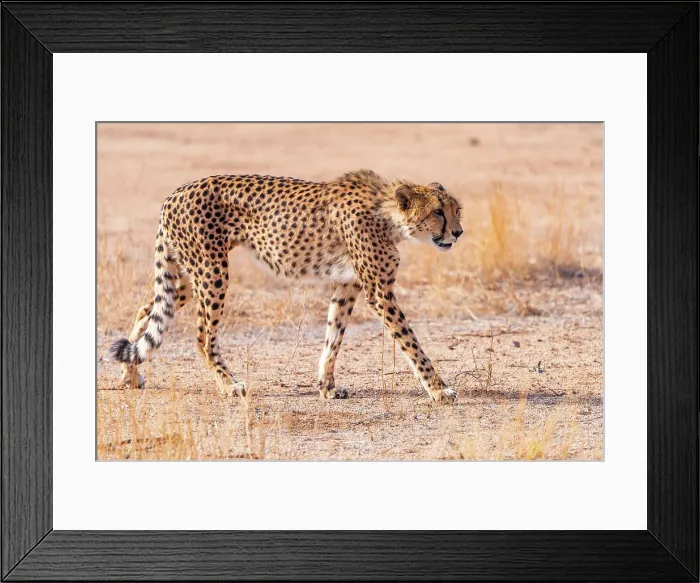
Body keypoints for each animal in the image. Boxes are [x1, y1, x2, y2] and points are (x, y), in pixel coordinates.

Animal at [110, 169, 463, 403]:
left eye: (457, 210)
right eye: (437, 212)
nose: (458, 232)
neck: (388, 215)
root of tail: (175, 193)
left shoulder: (346, 284)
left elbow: (333, 337)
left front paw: (327, 386)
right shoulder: (379, 292)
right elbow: (411, 343)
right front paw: (438, 388)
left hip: (187, 273)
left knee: (148, 310)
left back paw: (130, 374)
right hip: (212, 272)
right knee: (202, 336)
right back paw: (229, 385)